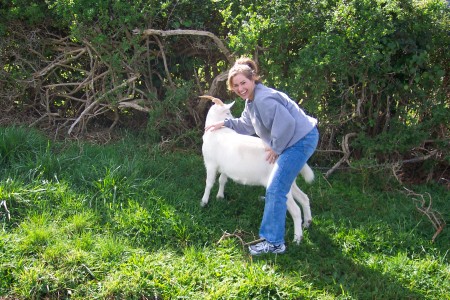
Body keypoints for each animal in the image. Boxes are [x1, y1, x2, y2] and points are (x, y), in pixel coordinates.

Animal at [200, 96, 312, 244]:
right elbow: (222, 180)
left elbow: (209, 183)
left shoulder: (211, 163)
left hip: (279, 182)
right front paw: (220, 196)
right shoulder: (225, 167)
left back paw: (297, 238)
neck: (217, 132)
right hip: (290, 179)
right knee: (304, 198)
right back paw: (307, 223)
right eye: (228, 113)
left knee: (295, 209)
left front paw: (204, 202)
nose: (231, 118)